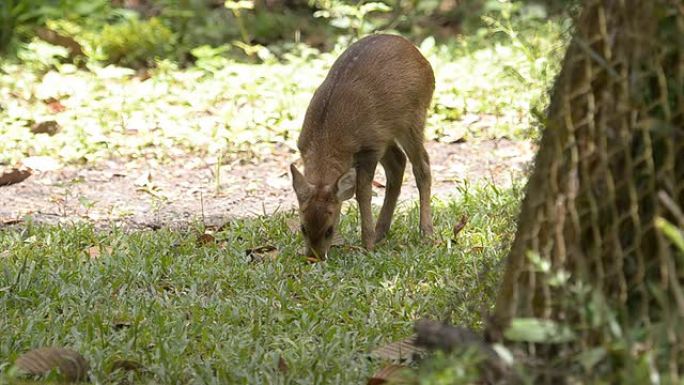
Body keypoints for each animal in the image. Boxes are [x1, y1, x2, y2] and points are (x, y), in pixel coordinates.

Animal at [292, 33, 436, 258]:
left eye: (329, 230)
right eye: (303, 228)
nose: (314, 258)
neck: (328, 134)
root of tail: (422, 58)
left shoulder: (370, 148)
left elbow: (363, 193)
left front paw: (367, 244)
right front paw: (370, 239)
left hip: (414, 117)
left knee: (422, 166)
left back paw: (426, 233)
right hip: (387, 133)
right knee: (398, 163)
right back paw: (381, 232)